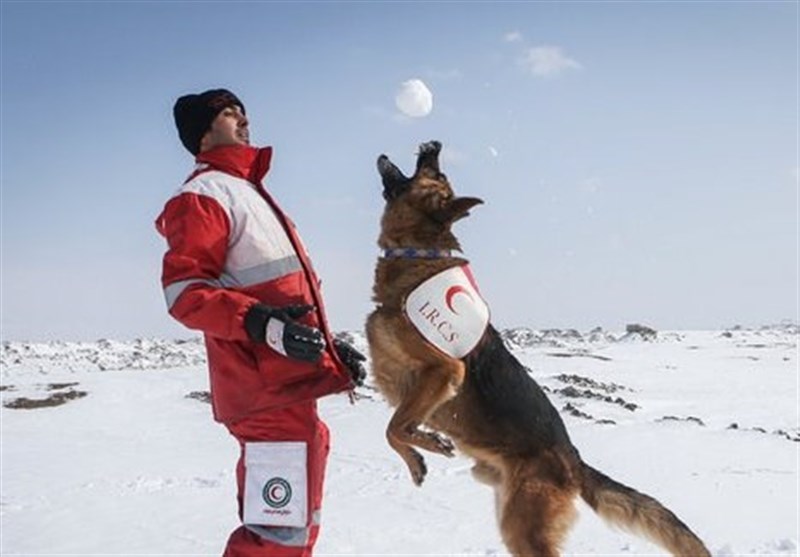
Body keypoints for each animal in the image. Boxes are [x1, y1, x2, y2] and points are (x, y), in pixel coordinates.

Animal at [366, 141, 708, 556]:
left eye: (435, 173)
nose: (433, 145)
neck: (419, 255)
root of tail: (573, 460)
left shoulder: (445, 371)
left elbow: (395, 426)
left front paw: (426, 448)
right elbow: (394, 428)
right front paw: (418, 458)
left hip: (524, 527)